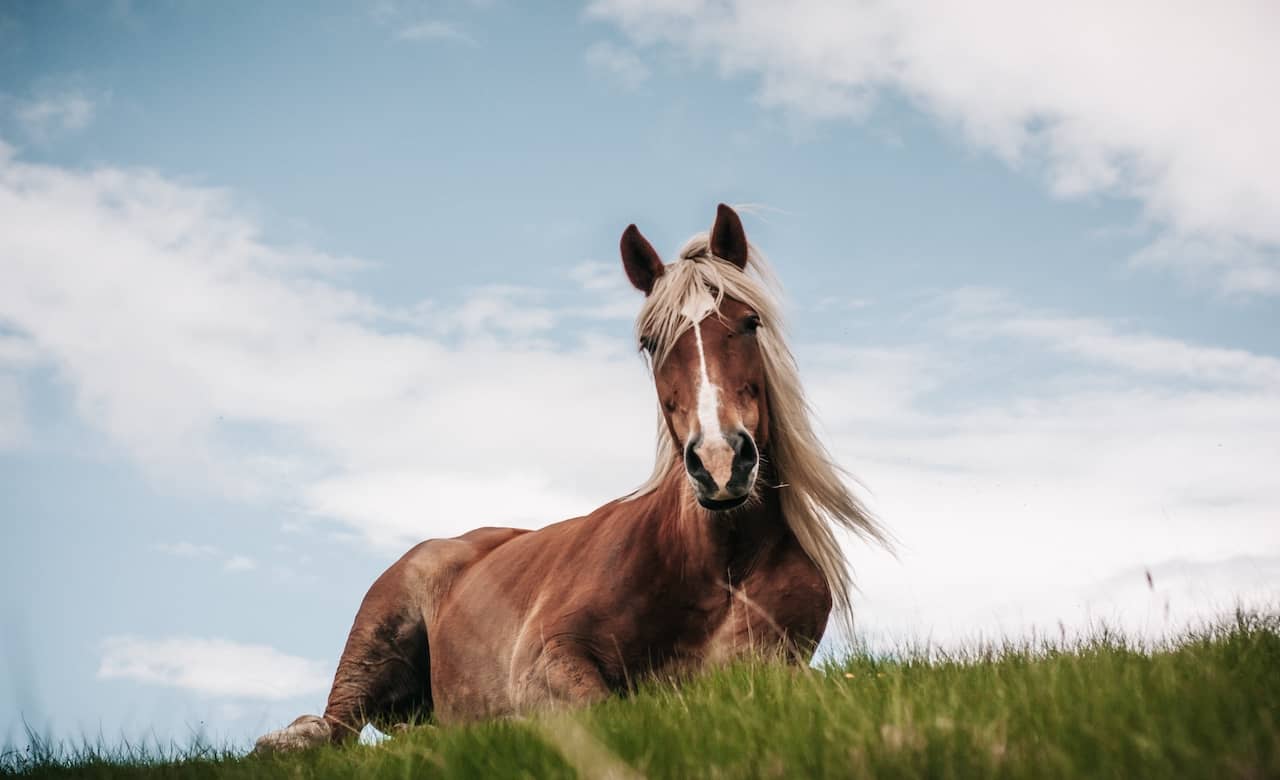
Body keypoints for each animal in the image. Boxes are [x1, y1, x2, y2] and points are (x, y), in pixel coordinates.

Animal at [254, 204, 886, 751]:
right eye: (649, 343)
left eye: (749, 323)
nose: (720, 461)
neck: (714, 560)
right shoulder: (548, 655)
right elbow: (596, 705)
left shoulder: (766, 667)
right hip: (376, 638)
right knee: (336, 725)